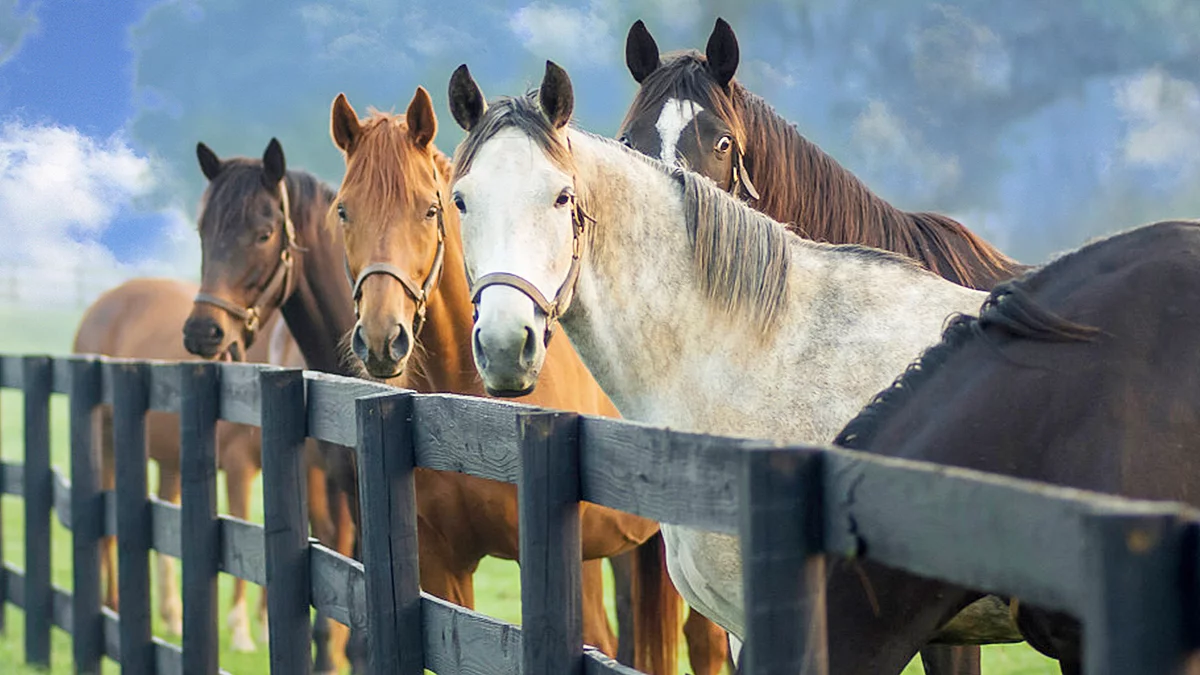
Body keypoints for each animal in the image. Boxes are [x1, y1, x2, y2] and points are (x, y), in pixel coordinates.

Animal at [71, 275, 333, 653]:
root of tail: (100, 304)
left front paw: (265, 625)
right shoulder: (239, 466)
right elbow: (247, 530)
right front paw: (241, 630)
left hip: (171, 460)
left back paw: (171, 615)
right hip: (107, 441)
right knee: (108, 527)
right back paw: (113, 605)